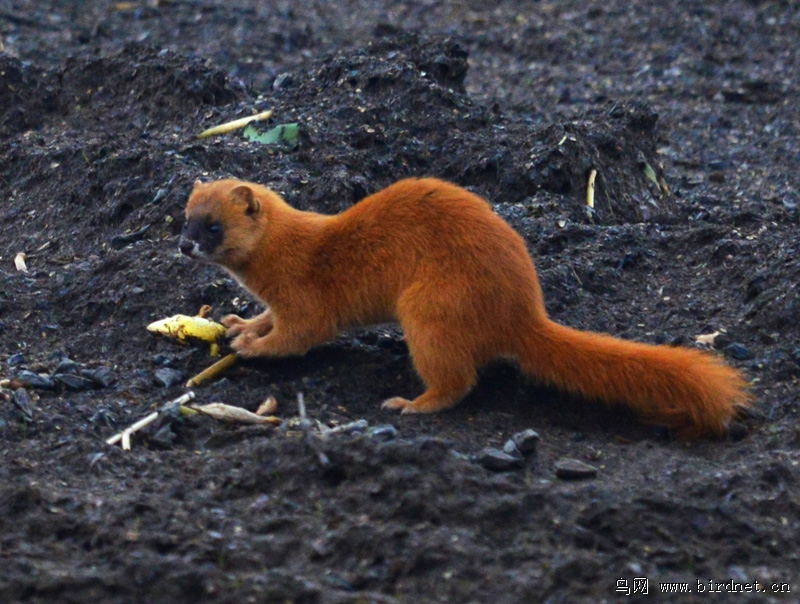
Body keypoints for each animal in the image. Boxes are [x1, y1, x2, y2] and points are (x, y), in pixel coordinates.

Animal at [180, 177, 752, 436]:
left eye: (214, 226)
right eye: (183, 216)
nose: (185, 246)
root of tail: (525, 310)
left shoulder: (306, 296)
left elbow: (298, 335)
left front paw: (251, 345)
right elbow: (267, 318)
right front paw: (238, 322)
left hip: (430, 307)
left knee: (456, 380)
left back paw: (408, 404)